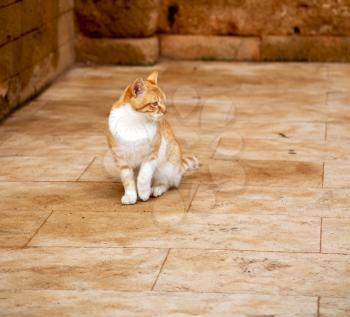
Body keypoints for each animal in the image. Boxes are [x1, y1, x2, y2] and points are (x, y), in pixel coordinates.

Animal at [106, 70, 200, 204]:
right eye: (155, 104)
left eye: (164, 101)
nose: (165, 111)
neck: (135, 122)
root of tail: (179, 167)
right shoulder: (121, 159)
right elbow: (127, 179)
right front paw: (130, 196)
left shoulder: (151, 155)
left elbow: (144, 176)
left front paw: (144, 192)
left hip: (167, 167)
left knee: (168, 183)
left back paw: (156, 189)